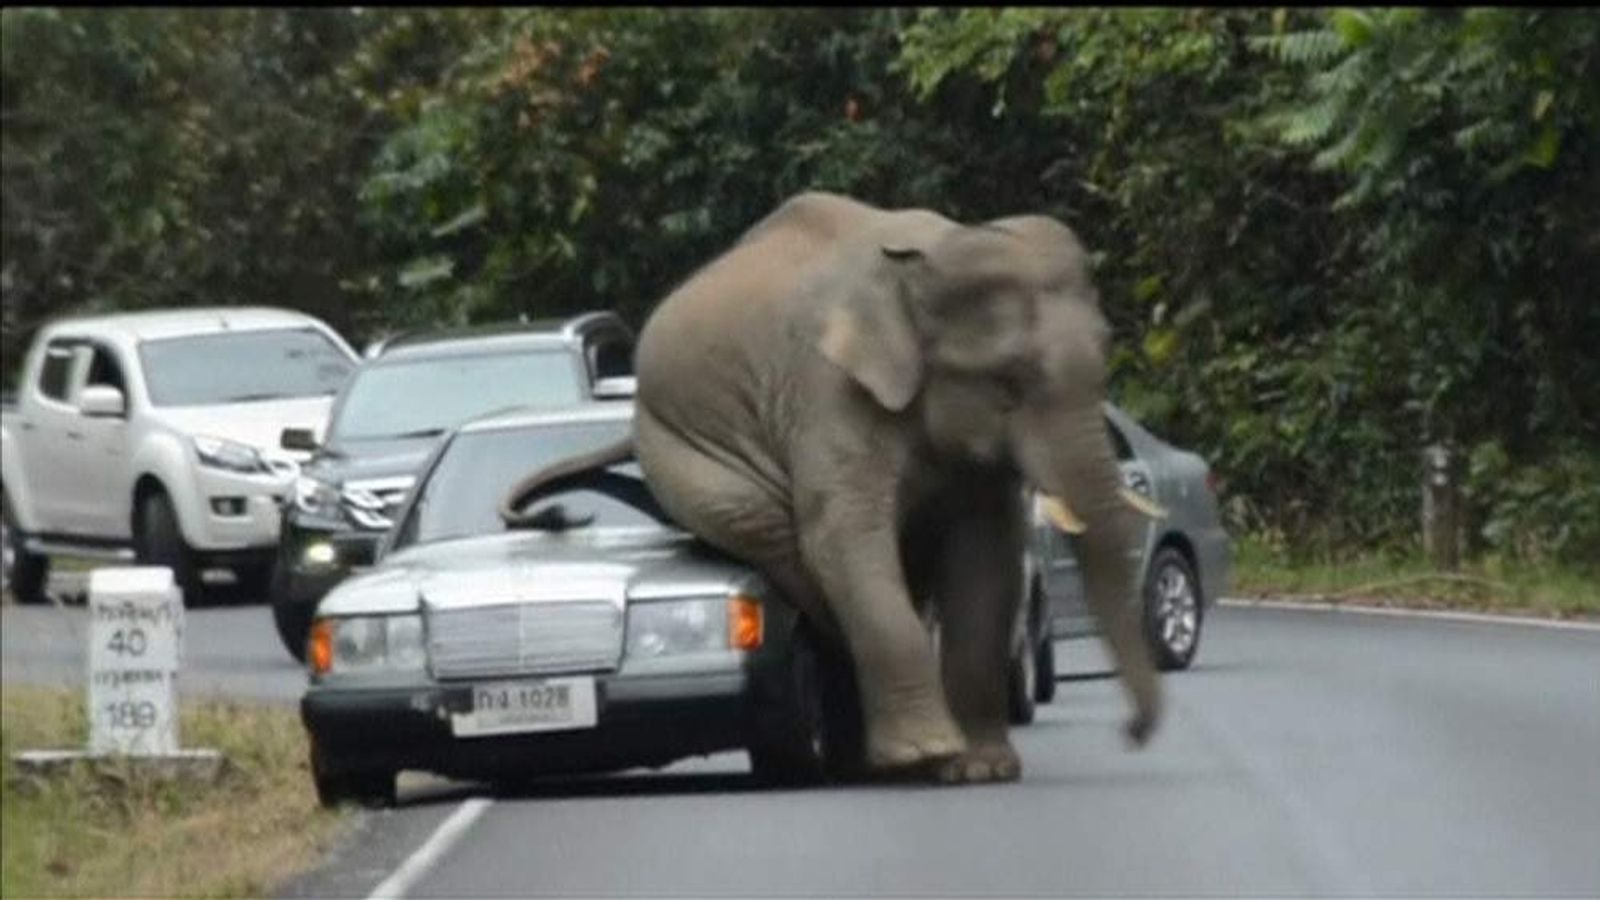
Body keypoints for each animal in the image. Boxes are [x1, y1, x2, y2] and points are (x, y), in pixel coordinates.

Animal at [503, 191, 1164, 783]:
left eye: (1106, 353)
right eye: (1009, 380)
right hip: (696, 468)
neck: (931, 257)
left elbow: (986, 553)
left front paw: (982, 769)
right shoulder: (828, 395)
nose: (1132, 735)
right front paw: (933, 755)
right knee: (801, 560)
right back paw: (880, 759)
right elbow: (845, 538)